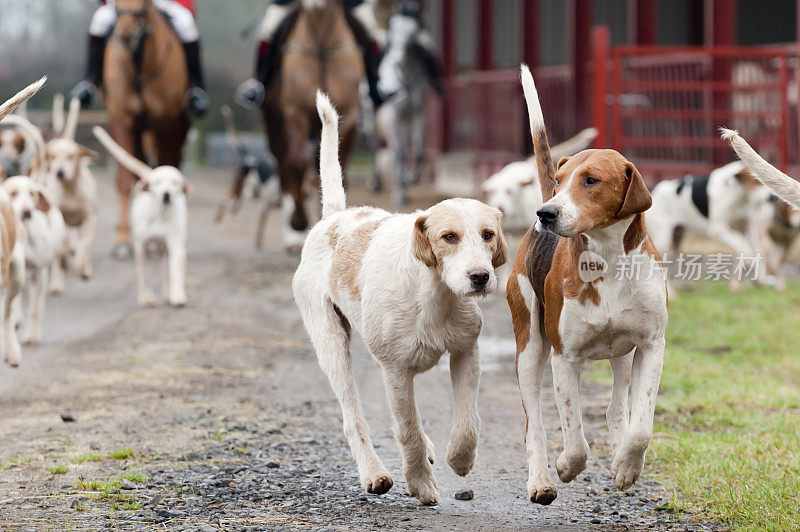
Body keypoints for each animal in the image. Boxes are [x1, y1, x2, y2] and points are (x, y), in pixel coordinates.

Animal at [104, 0, 190, 256]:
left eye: (144, 3)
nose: (126, 33)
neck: (139, 63)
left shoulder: (165, 122)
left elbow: (167, 166)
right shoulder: (121, 118)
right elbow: (125, 181)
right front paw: (123, 240)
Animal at [260, 0, 364, 249]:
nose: (313, 4)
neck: (321, 45)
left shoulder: (349, 116)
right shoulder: (295, 113)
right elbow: (297, 164)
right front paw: (298, 222)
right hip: (275, 126)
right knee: (285, 166)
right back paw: (294, 233)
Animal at [376, 0, 444, 205]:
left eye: (414, 31)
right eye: (391, 27)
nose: (398, 60)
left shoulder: (418, 113)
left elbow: (419, 151)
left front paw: (410, 179)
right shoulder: (393, 115)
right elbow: (399, 153)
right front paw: (399, 193)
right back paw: (376, 181)